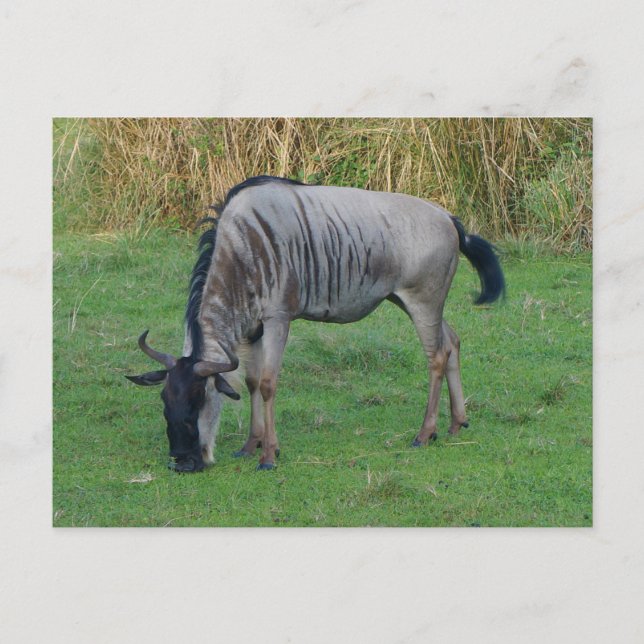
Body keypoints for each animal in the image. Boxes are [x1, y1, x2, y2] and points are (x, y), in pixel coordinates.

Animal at [127, 176, 505, 472]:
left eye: (198, 402)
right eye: (164, 403)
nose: (182, 463)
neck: (243, 248)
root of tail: (449, 218)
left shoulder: (278, 319)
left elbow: (268, 384)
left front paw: (269, 455)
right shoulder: (252, 329)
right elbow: (251, 382)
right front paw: (251, 445)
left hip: (423, 303)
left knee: (436, 357)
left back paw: (425, 433)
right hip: (413, 302)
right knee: (452, 341)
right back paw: (457, 423)